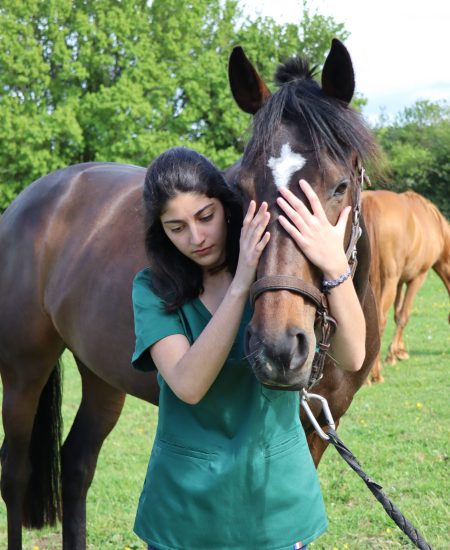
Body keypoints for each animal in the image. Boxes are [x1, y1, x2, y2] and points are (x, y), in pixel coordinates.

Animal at [0, 40, 380, 550]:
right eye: (242, 188)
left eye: (339, 186)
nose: (279, 349)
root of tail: (27, 201)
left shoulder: (321, 425)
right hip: (24, 372)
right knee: (15, 473)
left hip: (101, 376)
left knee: (77, 465)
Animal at [364, 190, 448, 384]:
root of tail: (370, 202)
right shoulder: (417, 278)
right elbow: (403, 315)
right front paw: (393, 353)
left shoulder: (400, 281)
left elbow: (397, 314)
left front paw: (398, 352)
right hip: (388, 282)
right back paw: (375, 375)